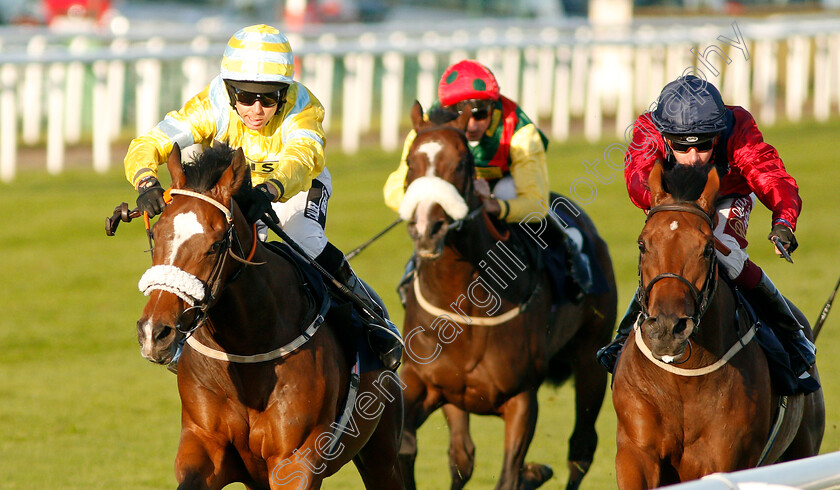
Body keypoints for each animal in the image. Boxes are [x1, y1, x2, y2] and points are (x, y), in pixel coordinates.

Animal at [135, 144, 404, 488]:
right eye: (156, 234)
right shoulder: (204, 444)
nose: (155, 333)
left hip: (382, 450)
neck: (247, 350)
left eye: (216, 244)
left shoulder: (296, 459)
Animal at [394, 102, 616, 490]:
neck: (465, 301)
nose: (426, 228)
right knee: (462, 457)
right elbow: (407, 446)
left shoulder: (521, 398)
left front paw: (529, 472)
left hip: (591, 360)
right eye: (410, 161)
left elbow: (509, 476)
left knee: (581, 449)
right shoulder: (427, 382)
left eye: (461, 163)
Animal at [612, 163, 824, 488]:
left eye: (708, 248)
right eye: (642, 244)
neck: (681, 379)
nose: (667, 330)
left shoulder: (727, 459)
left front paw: (783, 234)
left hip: (803, 449)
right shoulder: (636, 452)